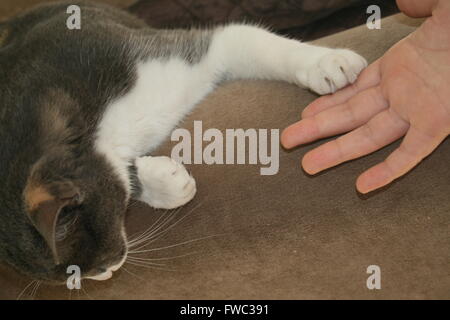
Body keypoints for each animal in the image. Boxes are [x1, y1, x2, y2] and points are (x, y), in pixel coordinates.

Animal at [0, 0, 368, 282]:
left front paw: (325, 63)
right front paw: (166, 184)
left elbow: (239, 37)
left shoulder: (158, 56)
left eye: (97, 263)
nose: (106, 273)